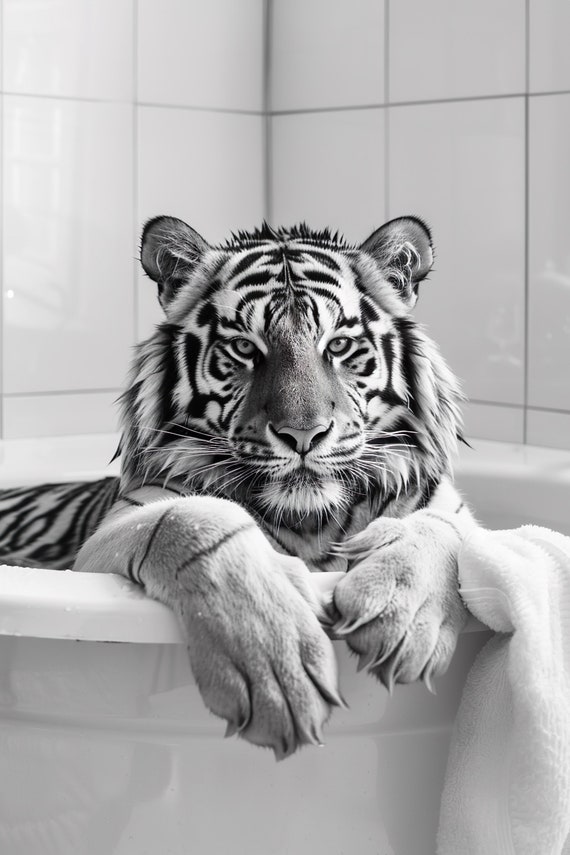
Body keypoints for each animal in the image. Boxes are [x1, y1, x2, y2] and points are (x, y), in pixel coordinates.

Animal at [0, 214, 476, 759]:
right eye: (245, 348)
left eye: (337, 346)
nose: (303, 435)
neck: (312, 520)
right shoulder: (117, 529)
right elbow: (195, 523)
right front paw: (277, 670)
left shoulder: (448, 509)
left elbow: (441, 528)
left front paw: (402, 617)